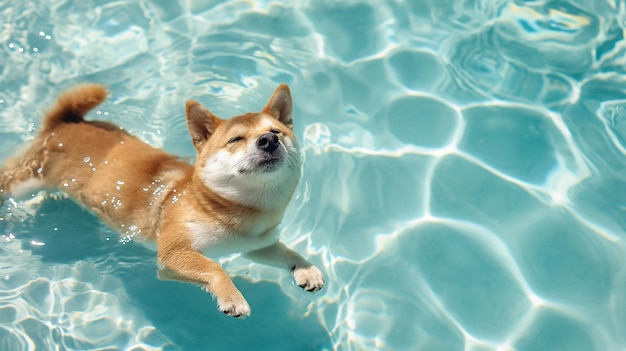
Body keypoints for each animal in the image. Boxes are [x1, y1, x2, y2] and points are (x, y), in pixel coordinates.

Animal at [0, 84, 322, 320]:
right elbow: (214, 268)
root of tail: (65, 122)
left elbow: (286, 252)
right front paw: (232, 296)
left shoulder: (253, 246)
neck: (232, 208)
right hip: (27, 181)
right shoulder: (173, 252)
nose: (268, 140)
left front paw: (305, 269)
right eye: (236, 139)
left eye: (277, 131)